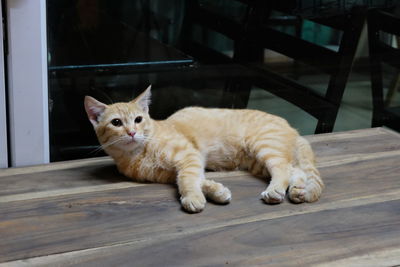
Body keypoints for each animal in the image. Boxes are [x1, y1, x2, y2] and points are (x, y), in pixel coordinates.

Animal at [85, 86, 324, 214]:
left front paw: (193, 197)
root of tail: (292, 128)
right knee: (296, 171)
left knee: (283, 169)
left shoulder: (189, 157)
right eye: (116, 123)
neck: (138, 154)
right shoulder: (171, 172)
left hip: (265, 147)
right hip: (259, 161)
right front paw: (216, 191)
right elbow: (196, 180)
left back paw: (276, 191)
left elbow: (187, 180)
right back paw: (298, 190)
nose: (132, 132)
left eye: (138, 119)